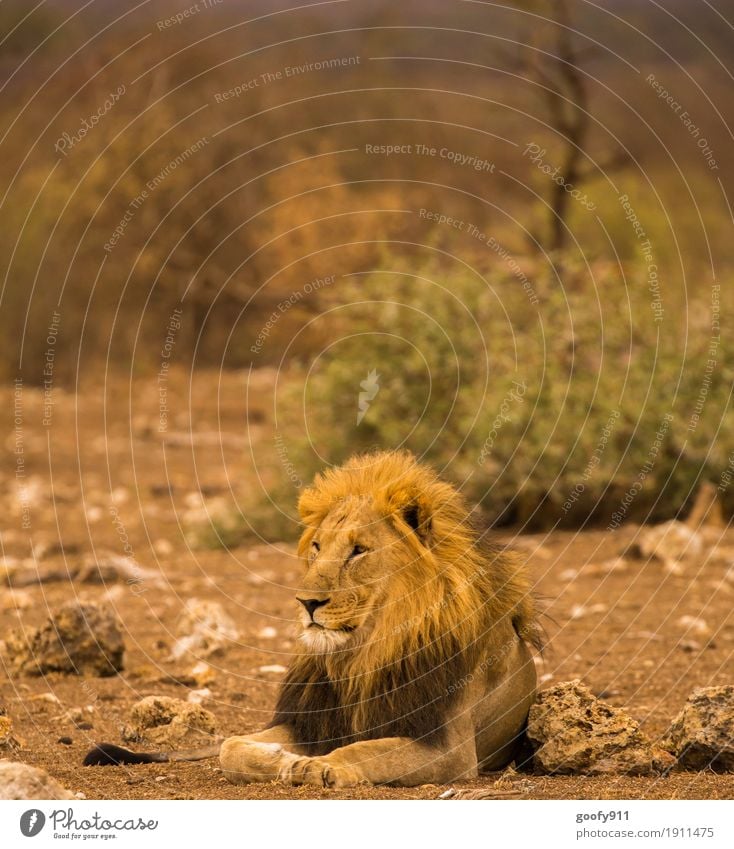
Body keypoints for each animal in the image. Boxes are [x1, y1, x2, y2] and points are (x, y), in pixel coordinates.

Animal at [87, 450, 548, 788]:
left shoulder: (449, 747)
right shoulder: (310, 721)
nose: (306, 602)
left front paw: (322, 766)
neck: (365, 653)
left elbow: (366, 750)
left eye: (359, 550)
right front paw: (282, 759)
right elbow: (230, 747)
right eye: (317, 546)